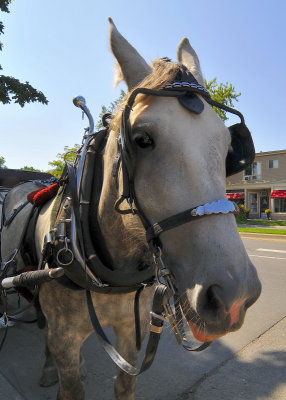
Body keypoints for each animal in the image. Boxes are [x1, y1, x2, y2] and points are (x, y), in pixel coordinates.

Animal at [1, 18, 262, 400]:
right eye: (141, 140)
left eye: (229, 146)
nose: (234, 296)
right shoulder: (66, 337)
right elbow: (70, 379)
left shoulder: (129, 331)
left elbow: (125, 384)